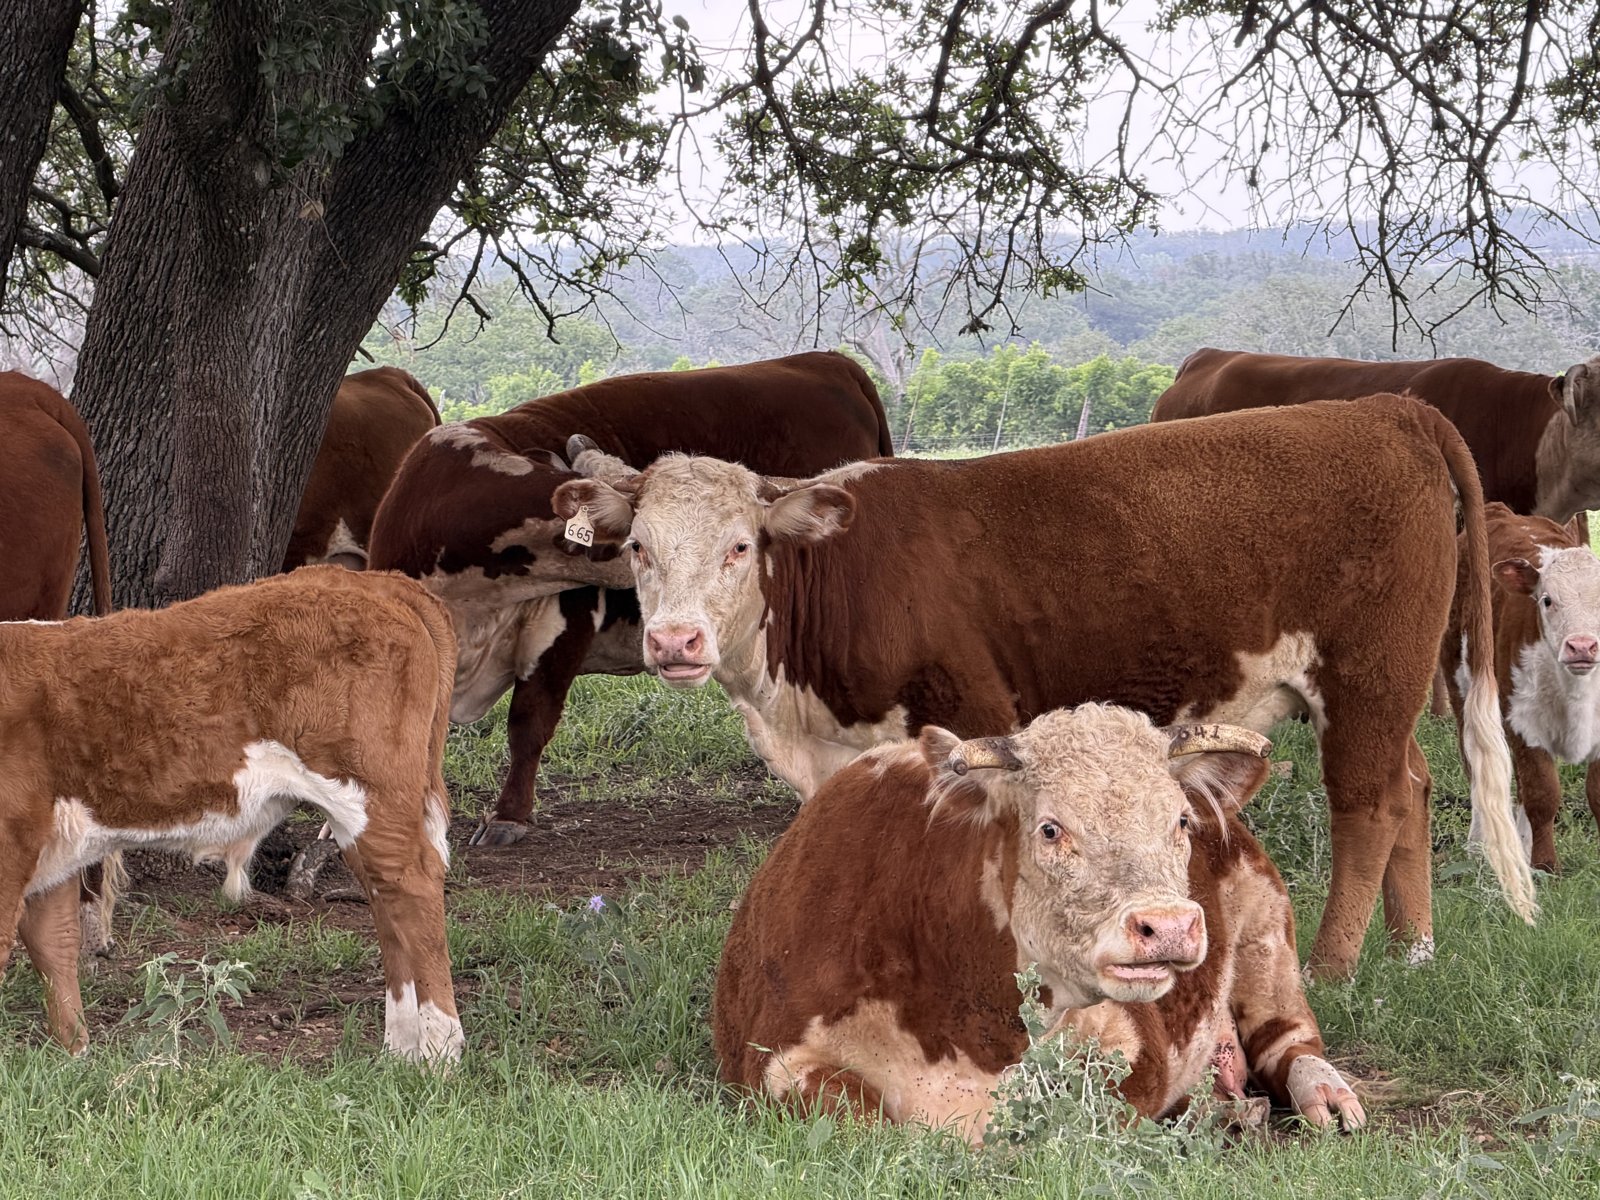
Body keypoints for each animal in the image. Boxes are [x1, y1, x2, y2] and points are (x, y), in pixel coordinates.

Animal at [0, 566, 462, 1063]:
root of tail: (368, 580)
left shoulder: (11, 841)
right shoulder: (51, 845)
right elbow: (55, 944)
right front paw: (73, 1054)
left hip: (369, 791)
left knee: (411, 886)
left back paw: (438, 1051)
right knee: (385, 896)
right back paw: (402, 1050)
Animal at [552, 394, 1537, 980]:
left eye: (740, 545)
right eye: (637, 546)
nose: (674, 641)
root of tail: (1388, 406)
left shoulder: (974, 720)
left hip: (1368, 673)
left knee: (1369, 802)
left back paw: (1330, 967)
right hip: (1386, 688)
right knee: (1412, 785)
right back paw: (1413, 949)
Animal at [714, 707, 1366, 1140]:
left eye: (1180, 820)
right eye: (1050, 828)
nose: (1170, 926)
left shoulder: (1133, 1043)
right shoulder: (769, 1062)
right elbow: (865, 1116)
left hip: (1266, 925)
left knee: (1290, 1038)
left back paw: (1324, 1094)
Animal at [1442, 503, 1600, 874]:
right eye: (1547, 600)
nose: (1582, 646)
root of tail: (1498, 510)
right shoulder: (1521, 722)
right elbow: (1542, 793)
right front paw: (1545, 866)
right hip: (1462, 686)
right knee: (1477, 766)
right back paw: (1479, 844)